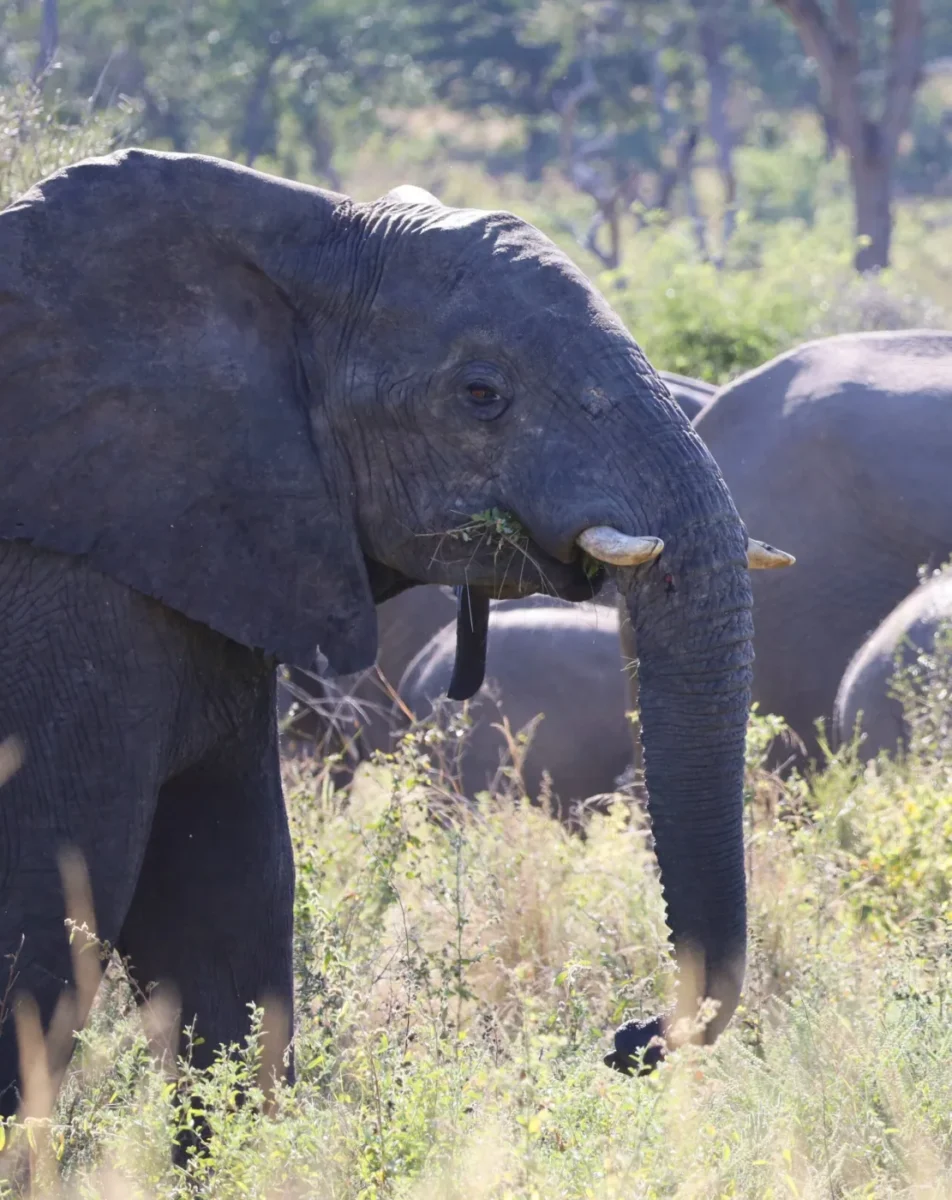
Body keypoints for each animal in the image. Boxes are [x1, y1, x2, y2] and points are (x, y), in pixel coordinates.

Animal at [0, 147, 782, 1117]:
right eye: (482, 394)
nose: (626, 1038)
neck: (301, 229)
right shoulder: (64, 607)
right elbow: (50, 917)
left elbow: (229, 910)